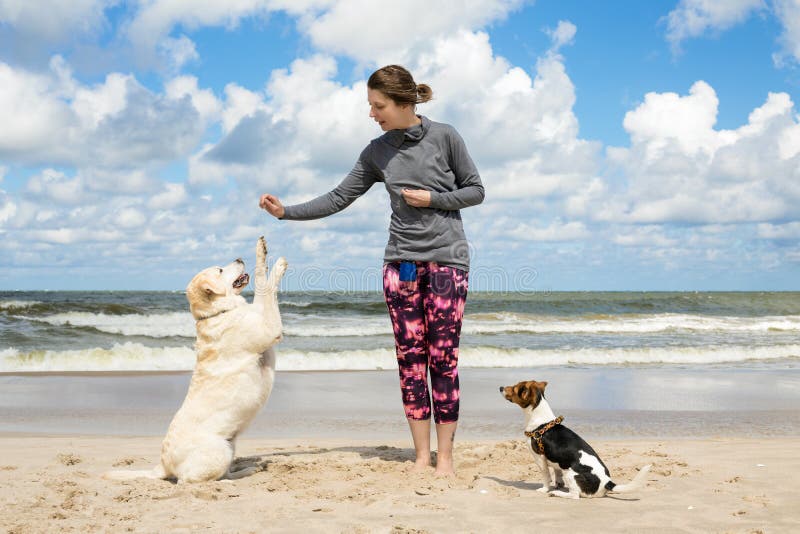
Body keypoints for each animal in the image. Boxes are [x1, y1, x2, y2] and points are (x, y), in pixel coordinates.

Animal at [104, 239, 288, 486]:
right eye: (220, 270)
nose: (239, 258)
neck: (218, 312)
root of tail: (162, 465)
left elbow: (262, 284)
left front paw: (264, 250)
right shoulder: (269, 328)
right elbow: (263, 285)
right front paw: (275, 263)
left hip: (230, 445)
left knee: (224, 472)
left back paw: (248, 469)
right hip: (218, 450)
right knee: (192, 482)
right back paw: (228, 483)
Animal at [500, 378, 648, 500]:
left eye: (514, 388)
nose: (501, 387)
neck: (541, 421)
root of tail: (607, 482)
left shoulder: (539, 458)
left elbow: (546, 477)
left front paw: (545, 489)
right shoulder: (557, 461)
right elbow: (557, 474)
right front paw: (558, 484)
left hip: (571, 473)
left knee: (574, 495)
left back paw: (556, 493)